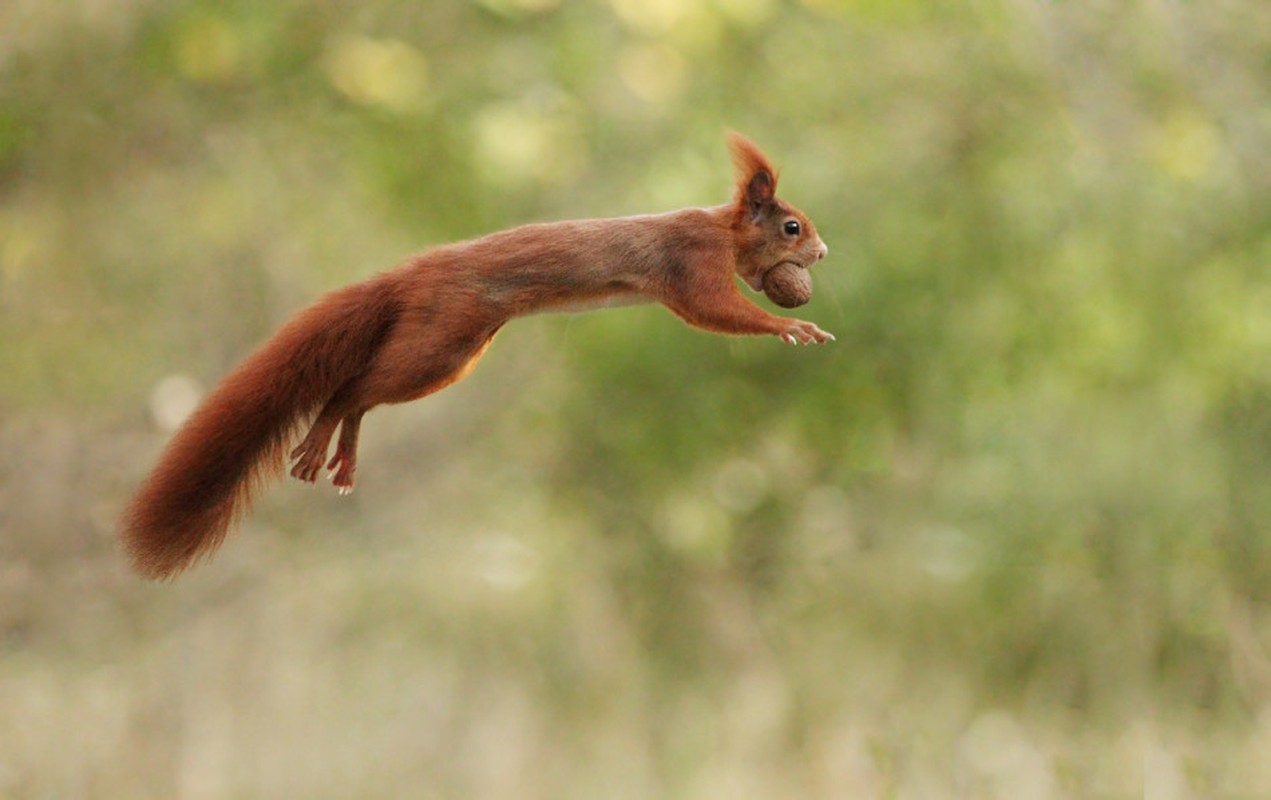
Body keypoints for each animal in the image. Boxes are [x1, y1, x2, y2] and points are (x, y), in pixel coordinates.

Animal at [121, 134, 833, 577]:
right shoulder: (691, 266)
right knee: (352, 389)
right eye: (792, 225)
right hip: (439, 341)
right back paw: (321, 442)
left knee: (363, 392)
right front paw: (792, 327)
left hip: (455, 350)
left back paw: (343, 455)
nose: (823, 254)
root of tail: (408, 276)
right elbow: (719, 312)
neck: (722, 230)